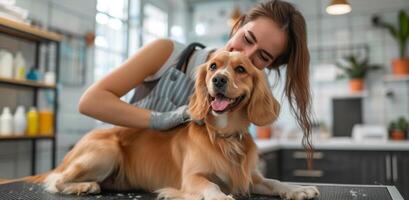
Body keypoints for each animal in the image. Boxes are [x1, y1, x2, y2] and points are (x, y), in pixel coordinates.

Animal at [17, 51, 318, 200]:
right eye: (213, 66)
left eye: (241, 69)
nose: (218, 80)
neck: (223, 136)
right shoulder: (192, 178)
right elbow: (211, 187)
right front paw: (222, 198)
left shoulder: (249, 178)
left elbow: (275, 181)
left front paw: (298, 189)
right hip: (106, 152)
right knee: (57, 180)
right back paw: (83, 186)